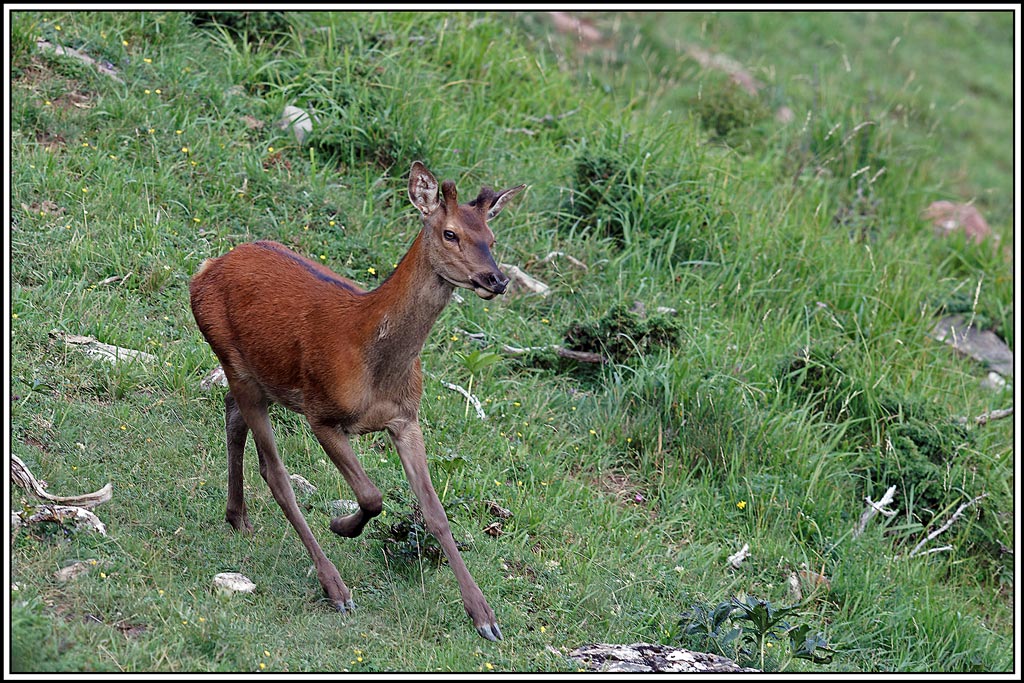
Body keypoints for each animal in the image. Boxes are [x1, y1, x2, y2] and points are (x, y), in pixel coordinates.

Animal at [189, 161, 525, 641]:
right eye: (451, 233)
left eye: (492, 240)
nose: (496, 280)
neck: (376, 365)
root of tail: (205, 268)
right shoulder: (322, 413)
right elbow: (371, 495)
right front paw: (342, 527)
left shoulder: (407, 418)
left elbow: (435, 511)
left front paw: (484, 616)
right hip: (232, 358)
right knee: (274, 471)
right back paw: (335, 586)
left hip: (256, 377)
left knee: (232, 415)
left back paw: (237, 517)